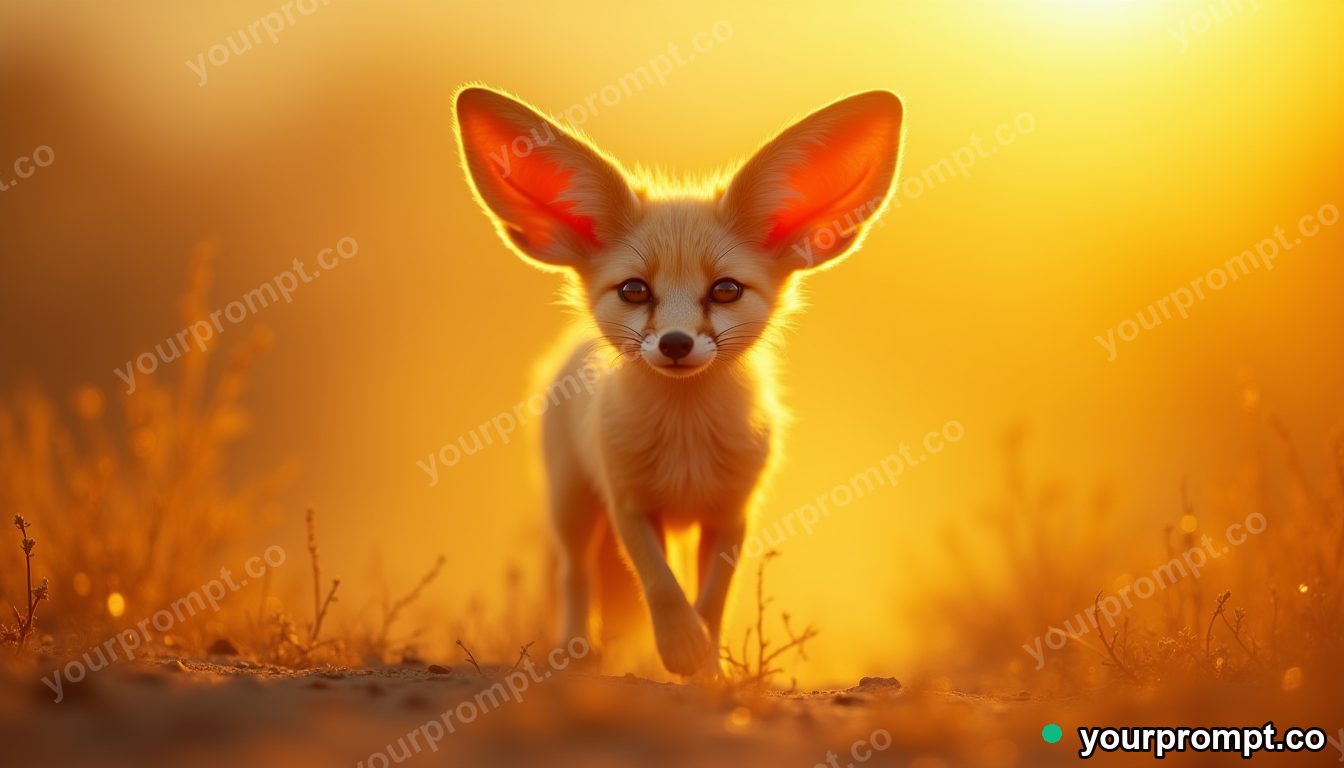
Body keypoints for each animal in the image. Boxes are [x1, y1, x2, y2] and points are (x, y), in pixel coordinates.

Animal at [453, 85, 904, 676]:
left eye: (726, 290)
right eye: (635, 290)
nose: (674, 343)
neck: (685, 446)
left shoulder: (732, 514)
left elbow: (711, 599)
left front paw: (708, 670)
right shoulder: (630, 504)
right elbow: (662, 586)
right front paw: (680, 646)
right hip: (571, 504)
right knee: (575, 576)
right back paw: (577, 657)